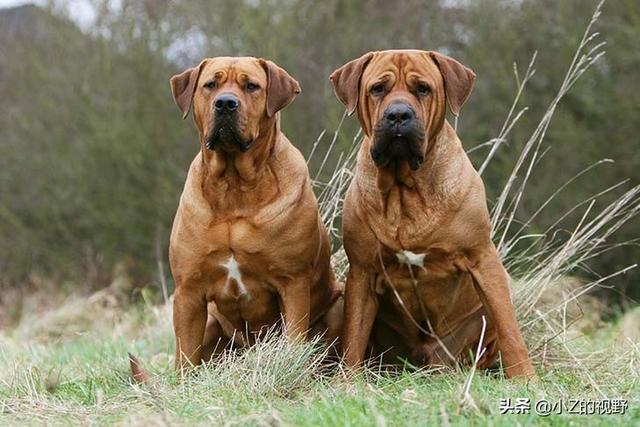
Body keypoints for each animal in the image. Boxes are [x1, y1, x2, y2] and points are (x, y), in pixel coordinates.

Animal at [165, 56, 344, 372]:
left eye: (251, 86)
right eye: (210, 84)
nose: (225, 103)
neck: (234, 186)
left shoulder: (293, 283)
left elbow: (294, 337)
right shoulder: (188, 291)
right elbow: (185, 355)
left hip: (339, 302)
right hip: (211, 320)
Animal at [330, 48, 536, 380]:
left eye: (422, 89)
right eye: (378, 89)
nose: (398, 115)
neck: (405, 188)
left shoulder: (482, 258)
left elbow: (509, 326)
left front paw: (525, 377)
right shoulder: (362, 271)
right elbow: (354, 336)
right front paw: (347, 380)